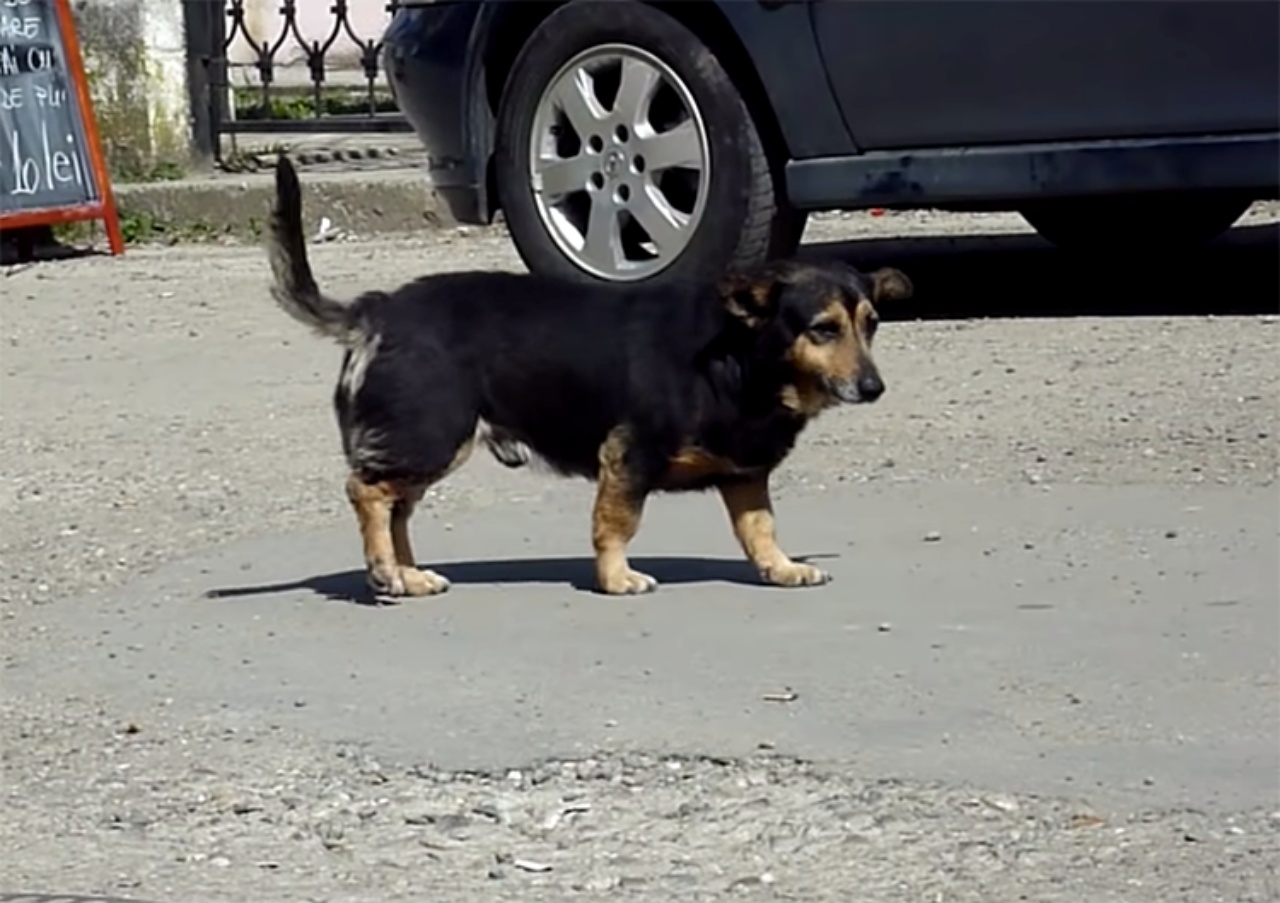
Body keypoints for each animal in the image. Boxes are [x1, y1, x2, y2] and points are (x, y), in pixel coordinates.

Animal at [267, 154, 911, 599]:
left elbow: (760, 529)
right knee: (366, 492)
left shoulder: (746, 476)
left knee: (393, 507)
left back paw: (408, 575)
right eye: (823, 329)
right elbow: (616, 524)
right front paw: (616, 578)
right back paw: (383, 572)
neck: (737, 359)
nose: (874, 388)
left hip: (421, 446)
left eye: (872, 324)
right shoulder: (627, 457)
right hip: (431, 436)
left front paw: (780, 568)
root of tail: (375, 310)